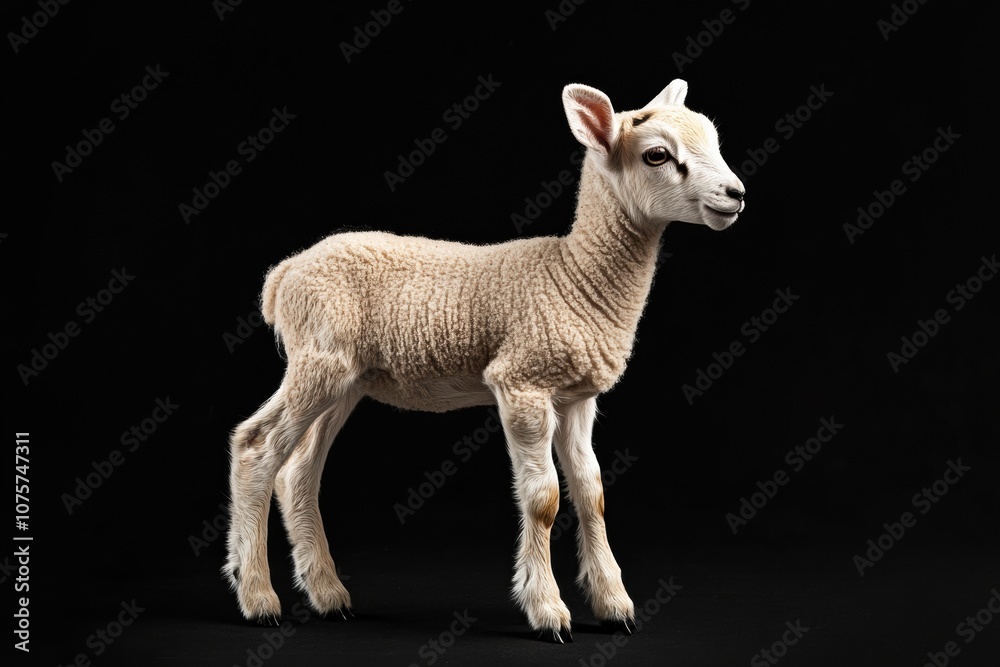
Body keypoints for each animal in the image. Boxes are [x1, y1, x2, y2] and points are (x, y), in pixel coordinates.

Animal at [224, 78, 745, 642]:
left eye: (714, 140)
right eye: (656, 155)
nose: (736, 194)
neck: (574, 275)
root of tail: (286, 272)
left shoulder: (577, 397)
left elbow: (592, 492)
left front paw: (614, 605)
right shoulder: (520, 382)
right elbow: (543, 498)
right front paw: (548, 611)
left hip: (347, 378)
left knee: (298, 471)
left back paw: (328, 595)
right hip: (319, 358)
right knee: (256, 447)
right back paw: (258, 597)